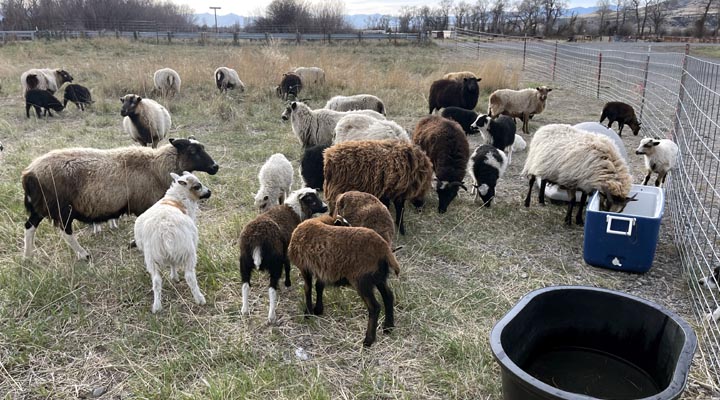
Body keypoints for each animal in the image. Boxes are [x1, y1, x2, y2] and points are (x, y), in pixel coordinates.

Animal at [22, 138, 219, 260]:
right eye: (193, 150)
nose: (215, 167)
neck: (156, 166)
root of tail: (29, 173)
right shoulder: (146, 205)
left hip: (41, 207)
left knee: (29, 226)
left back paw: (28, 257)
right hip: (60, 208)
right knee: (65, 232)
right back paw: (83, 254)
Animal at [133, 172, 211, 313]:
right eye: (197, 186)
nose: (209, 192)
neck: (177, 199)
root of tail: (165, 231)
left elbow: (172, 263)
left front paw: (174, 277)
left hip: (152, 257)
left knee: (156, 281)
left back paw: (156, 306)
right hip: (188, 251)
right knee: (190, 277)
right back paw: (200, 299)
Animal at [239, 188, 328, 323]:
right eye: (312, 200)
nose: (326, 207)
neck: (295, 211)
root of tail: (257, 238)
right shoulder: (286, 250)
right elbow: (287, 266)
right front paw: (287, 283)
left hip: (244, 261)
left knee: (245, 285)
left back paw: (245, 310)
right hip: (275, 262)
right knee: (271, 289)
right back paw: (271, 316)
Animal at [288, 214, 400, 347]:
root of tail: (384, 248)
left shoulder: (305, 267)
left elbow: (307, 288)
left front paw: (308, 313)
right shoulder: (323, 270)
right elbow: (319, 286)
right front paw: (318, 309)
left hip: (361, 279)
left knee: (375, 307)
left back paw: (368, 340)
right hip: (379, 277)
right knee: (388, 296)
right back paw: (388, 327)